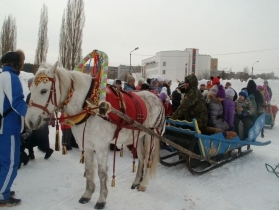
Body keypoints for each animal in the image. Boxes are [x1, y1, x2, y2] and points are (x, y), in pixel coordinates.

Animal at [24, 62, 166, 208]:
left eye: (43, 90)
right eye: (31, 89)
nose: (29, 121)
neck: (89, 106)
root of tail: (156, 98)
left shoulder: (101, 146)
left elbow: (101, 173)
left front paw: (101, 199)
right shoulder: (86, 145)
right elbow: (89, 170)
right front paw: (87, 194)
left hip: (151, 136)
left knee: (148, 159)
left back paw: (143, 184)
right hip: (138, 136)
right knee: (142, 158)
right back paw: (137, 181)